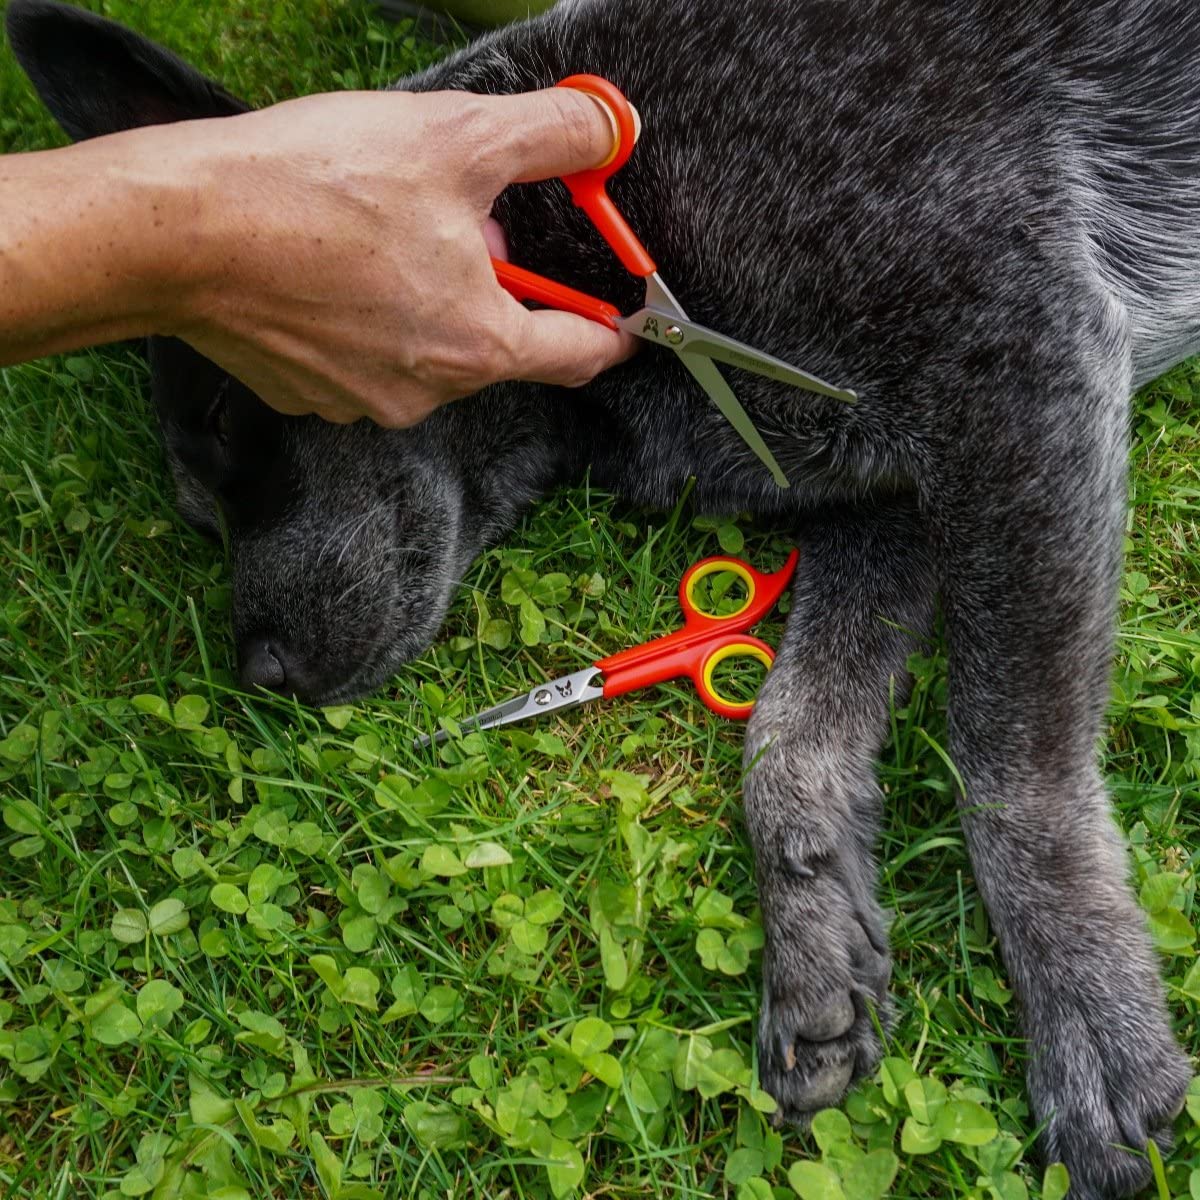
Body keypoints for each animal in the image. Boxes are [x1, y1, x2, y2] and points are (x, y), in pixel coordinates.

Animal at [4, 0, 1195, 1195]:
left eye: (230, 417)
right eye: (200, 515)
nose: (259, 672)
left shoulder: (1016, 382)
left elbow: (1010, 772)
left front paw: (1086, 998)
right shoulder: (885, 501)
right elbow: (787, 734)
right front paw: (813, 930)